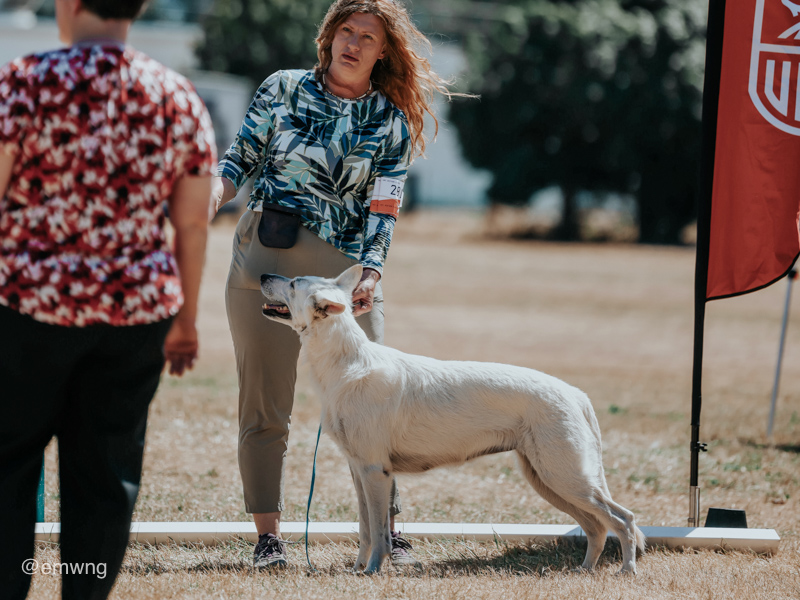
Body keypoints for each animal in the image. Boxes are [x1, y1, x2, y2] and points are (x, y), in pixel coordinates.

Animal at [260, 266, 644, 572]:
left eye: (292, 283)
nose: (263, 275)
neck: (345, 364)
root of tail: (576, 394)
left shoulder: (374, 472)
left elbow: (380, 534)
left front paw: (371, 572)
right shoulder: (358, 470)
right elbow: (366, 531)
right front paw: (357, 570)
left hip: (566, 478)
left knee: (622, 519)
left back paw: (626, 571)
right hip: (548, 480)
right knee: (597, 527)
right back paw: (585, 570)